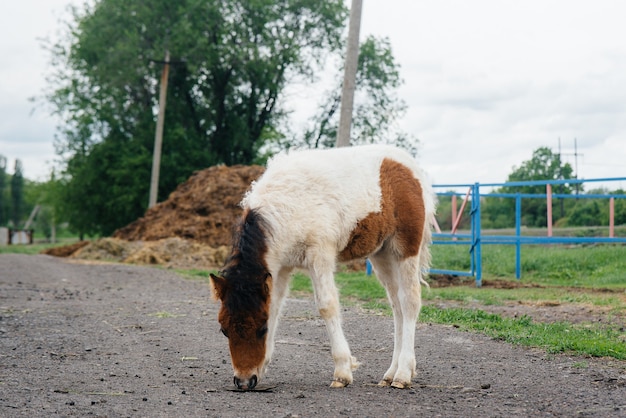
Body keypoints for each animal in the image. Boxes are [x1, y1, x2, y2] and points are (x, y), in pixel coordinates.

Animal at [210, 145, 434, 390]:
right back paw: (390, 374)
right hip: (382, 254)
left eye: (261, 329)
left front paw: (342, 372)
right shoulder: (280, 267)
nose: (244, 381)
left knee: (409, 302)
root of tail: (409, 164)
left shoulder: (320, 254)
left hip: (405, 248)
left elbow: (327, 306)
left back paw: (403, 374)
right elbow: (275, 307)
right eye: (224, 330)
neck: (286, 206)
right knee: (397, 305)